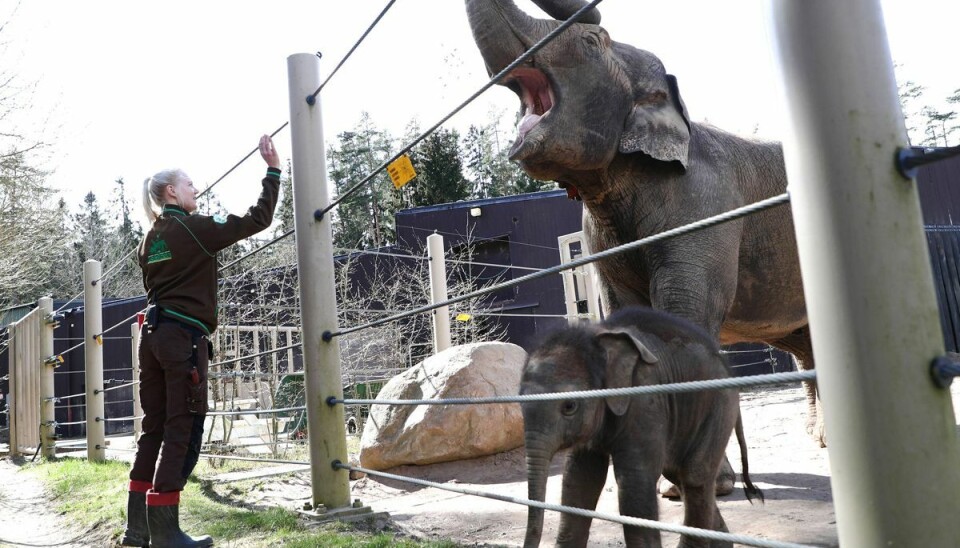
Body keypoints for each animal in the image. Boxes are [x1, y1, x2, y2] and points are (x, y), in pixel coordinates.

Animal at [520, 308, 760, 548]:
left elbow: (634, 482)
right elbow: (580, 478)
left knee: (695, 475)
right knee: (676, 472)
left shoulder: (645, 400)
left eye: (569, 406)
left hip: (719, 403)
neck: (595, 337)